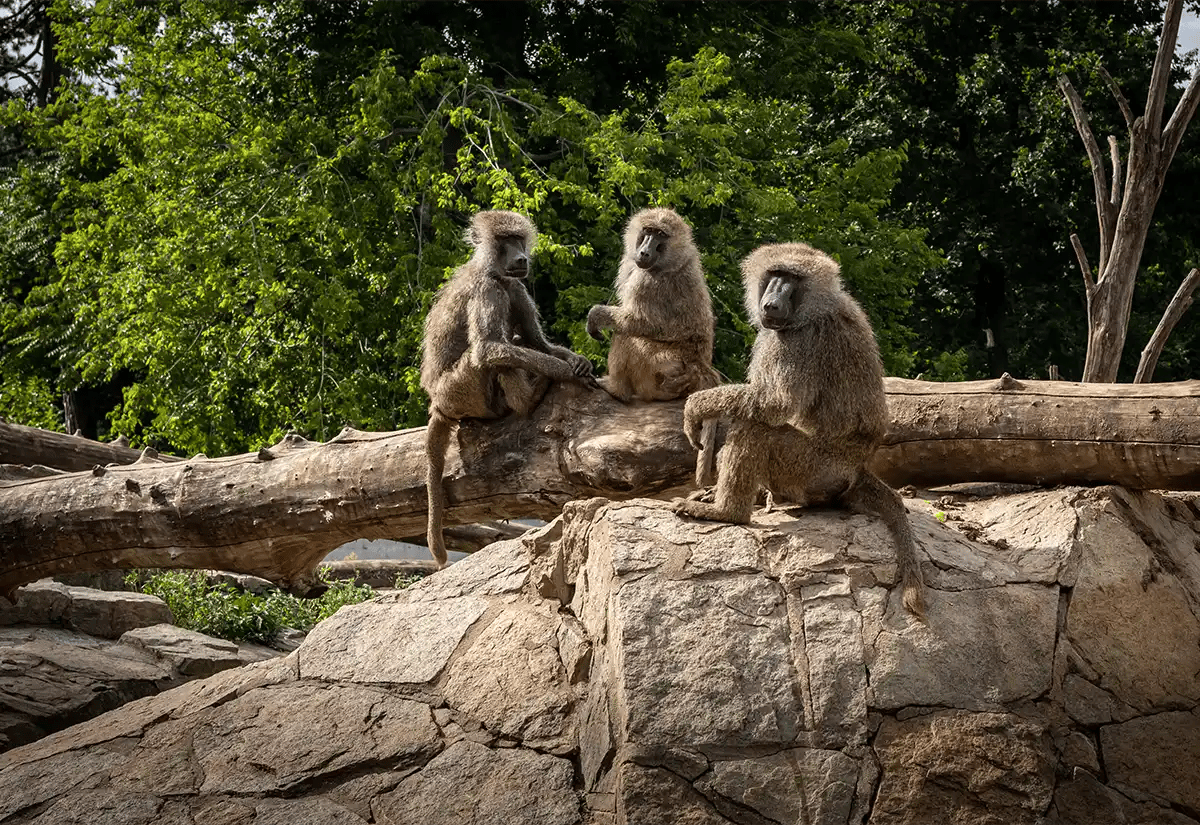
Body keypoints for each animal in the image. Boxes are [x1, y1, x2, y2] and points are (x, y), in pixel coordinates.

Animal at [421, 210, 595, 569]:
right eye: (504, 240)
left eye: (518, 239)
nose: (520, 258)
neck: (491, 270)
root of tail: (437, 403)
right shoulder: (489, 289)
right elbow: (489, 349)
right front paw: (567, 373)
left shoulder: (514, 284)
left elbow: (537, 342)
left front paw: (577, 361)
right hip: (462, 392)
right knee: (496, 355)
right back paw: (530, 398)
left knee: (514, 341)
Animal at [586, 207, 721, 485]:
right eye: (647, 231)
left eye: (660, 235)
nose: (644, 252)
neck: (671, 261)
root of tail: (698, 365)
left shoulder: (646, 281)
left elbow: (636, 322)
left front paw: (596, 316)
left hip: (665, 365)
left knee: (626, 336)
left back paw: (617, 389)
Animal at [673, 242, 926, 618]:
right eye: (774, 274)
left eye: (792, 278)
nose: (772, 303)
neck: (813, 308)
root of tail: (857, 467)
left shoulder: (798, 339)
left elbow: (772, 405)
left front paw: (698, 406)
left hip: (813, 470)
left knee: (756, 427)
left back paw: (726, 512)